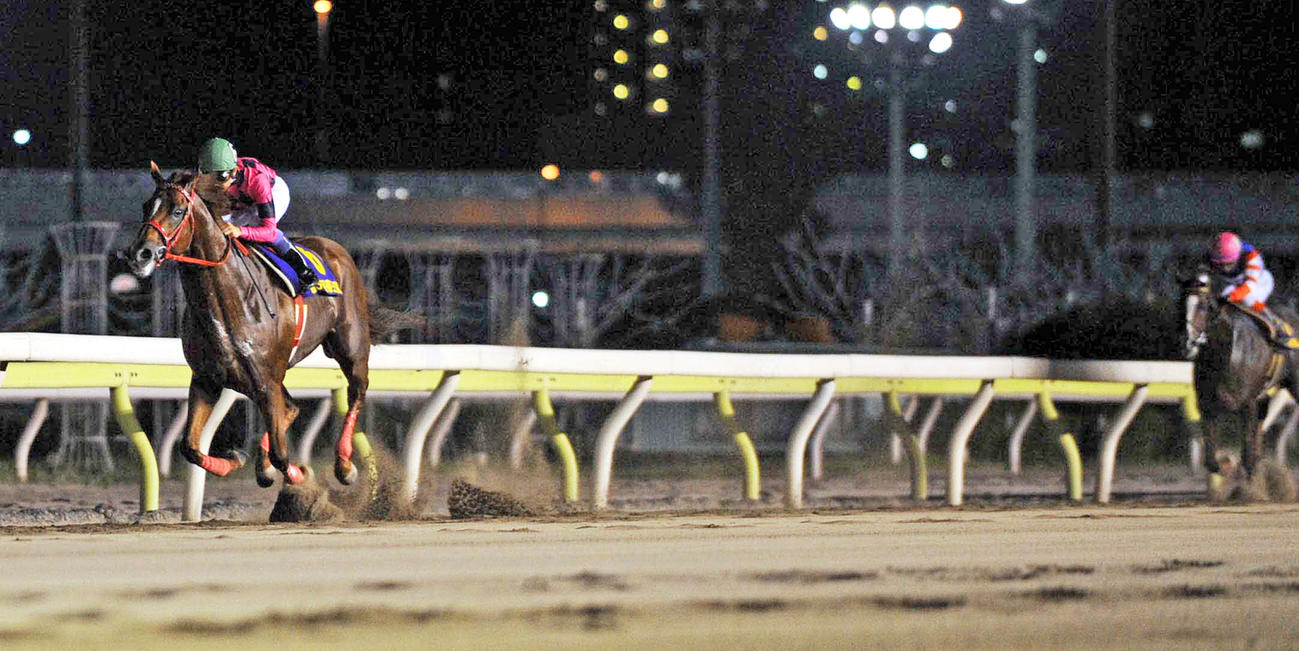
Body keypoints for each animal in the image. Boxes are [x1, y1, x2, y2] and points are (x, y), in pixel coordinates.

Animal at [127, 162, 403, 489]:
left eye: (178, 210)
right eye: (146, 206)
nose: (140, 254)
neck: (228, 300)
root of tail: (334, 248)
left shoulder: (265, 381)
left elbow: (284, 455)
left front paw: (300, 476)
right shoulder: (208, 379)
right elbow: (190, 447)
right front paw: (237, 459)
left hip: (350, 346)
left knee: (357, 391)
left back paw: (344, 465)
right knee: (292, 407)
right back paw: (264, 465)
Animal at [1181, 271, 1299, 488]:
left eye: (1202, 305)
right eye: (1180, 303)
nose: (1189, 344)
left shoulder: (1247, 403)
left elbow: (1247, 452)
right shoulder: (1207, 404)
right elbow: (1211, 460)